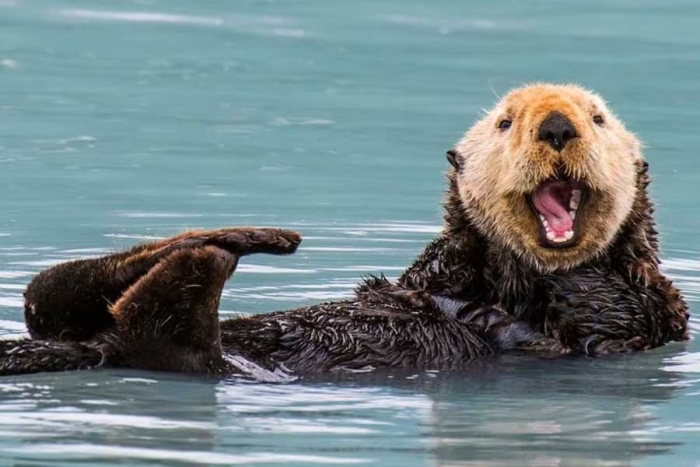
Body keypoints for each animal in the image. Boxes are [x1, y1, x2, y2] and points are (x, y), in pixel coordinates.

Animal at [0, 83, 688, 376]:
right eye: (505, 123)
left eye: (597, 118)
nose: (556, 126)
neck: (514, 283)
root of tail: (99, 347)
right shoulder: (434, 272)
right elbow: (426, 276)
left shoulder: (648, 314)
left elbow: (603, 315)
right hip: (72, 317)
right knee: (50, 294)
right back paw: (242, 236)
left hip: (193, 355)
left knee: (158, 327)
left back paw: (218, 252)